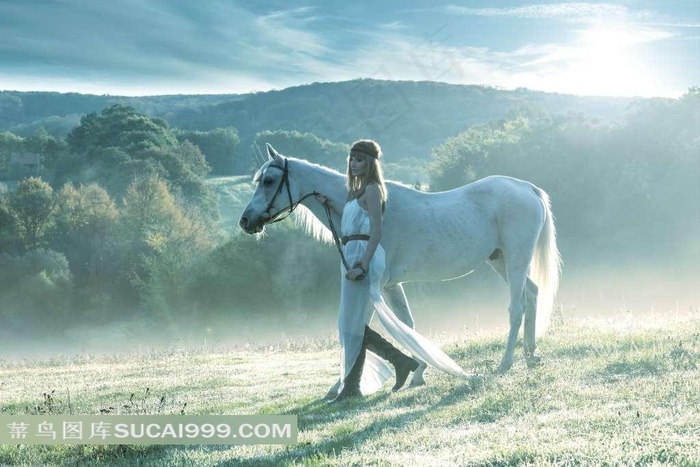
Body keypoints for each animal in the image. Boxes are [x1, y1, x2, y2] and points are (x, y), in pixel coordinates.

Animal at [241, 144, 564, 382]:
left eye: (268, 181)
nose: (246, 221)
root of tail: (526, 188)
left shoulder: (373, 284)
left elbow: (360, 328)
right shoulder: (391, 285)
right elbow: (407, 323)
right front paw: (419, 372)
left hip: (517, 259)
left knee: (517, 307)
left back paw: (506, 362)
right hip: (501, 262)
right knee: (532, 294)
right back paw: (531, 354)